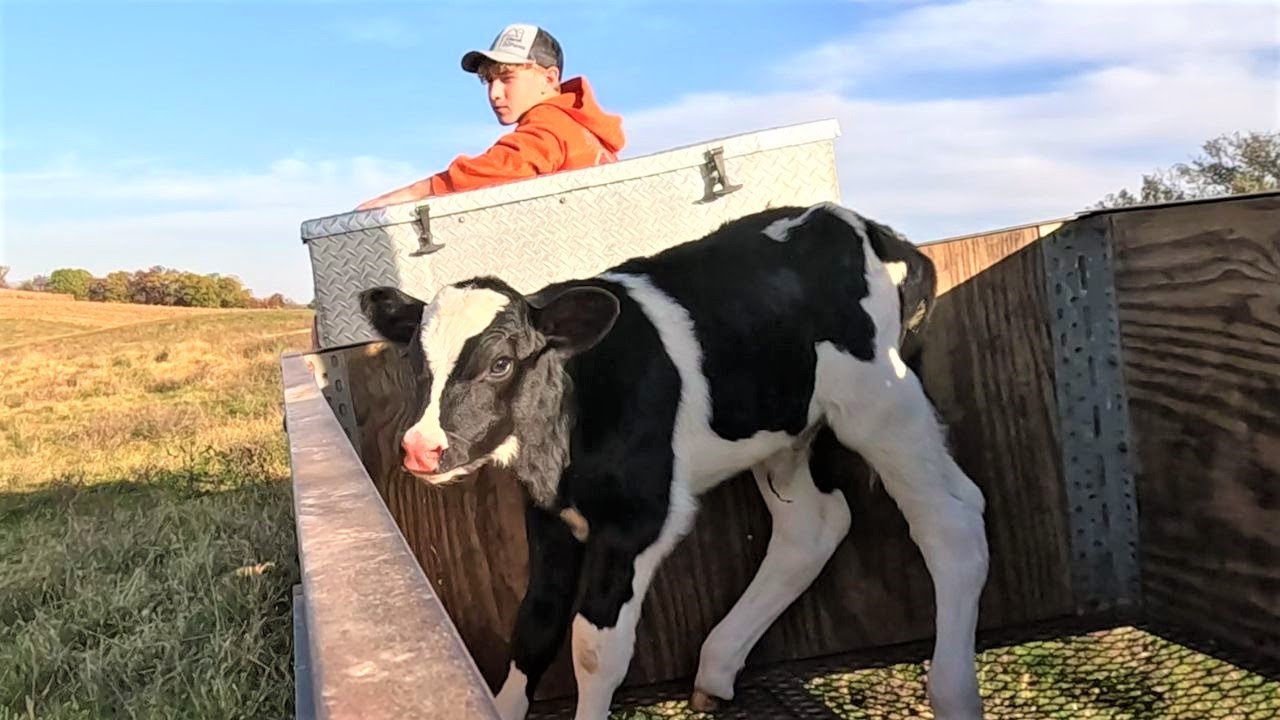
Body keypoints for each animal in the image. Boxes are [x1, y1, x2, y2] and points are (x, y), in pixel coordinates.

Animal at [358, 201, 990, 720]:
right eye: (415, 362)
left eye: (500, 364)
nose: (420, 448)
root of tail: (873, 230)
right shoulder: (548, 514)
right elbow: (535, 623)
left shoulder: (639, 517)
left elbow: (595, 649)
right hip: (784, 431)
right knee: (812, 527)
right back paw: (717, 667)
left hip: (880, 404)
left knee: (952, 519)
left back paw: (953, 694)